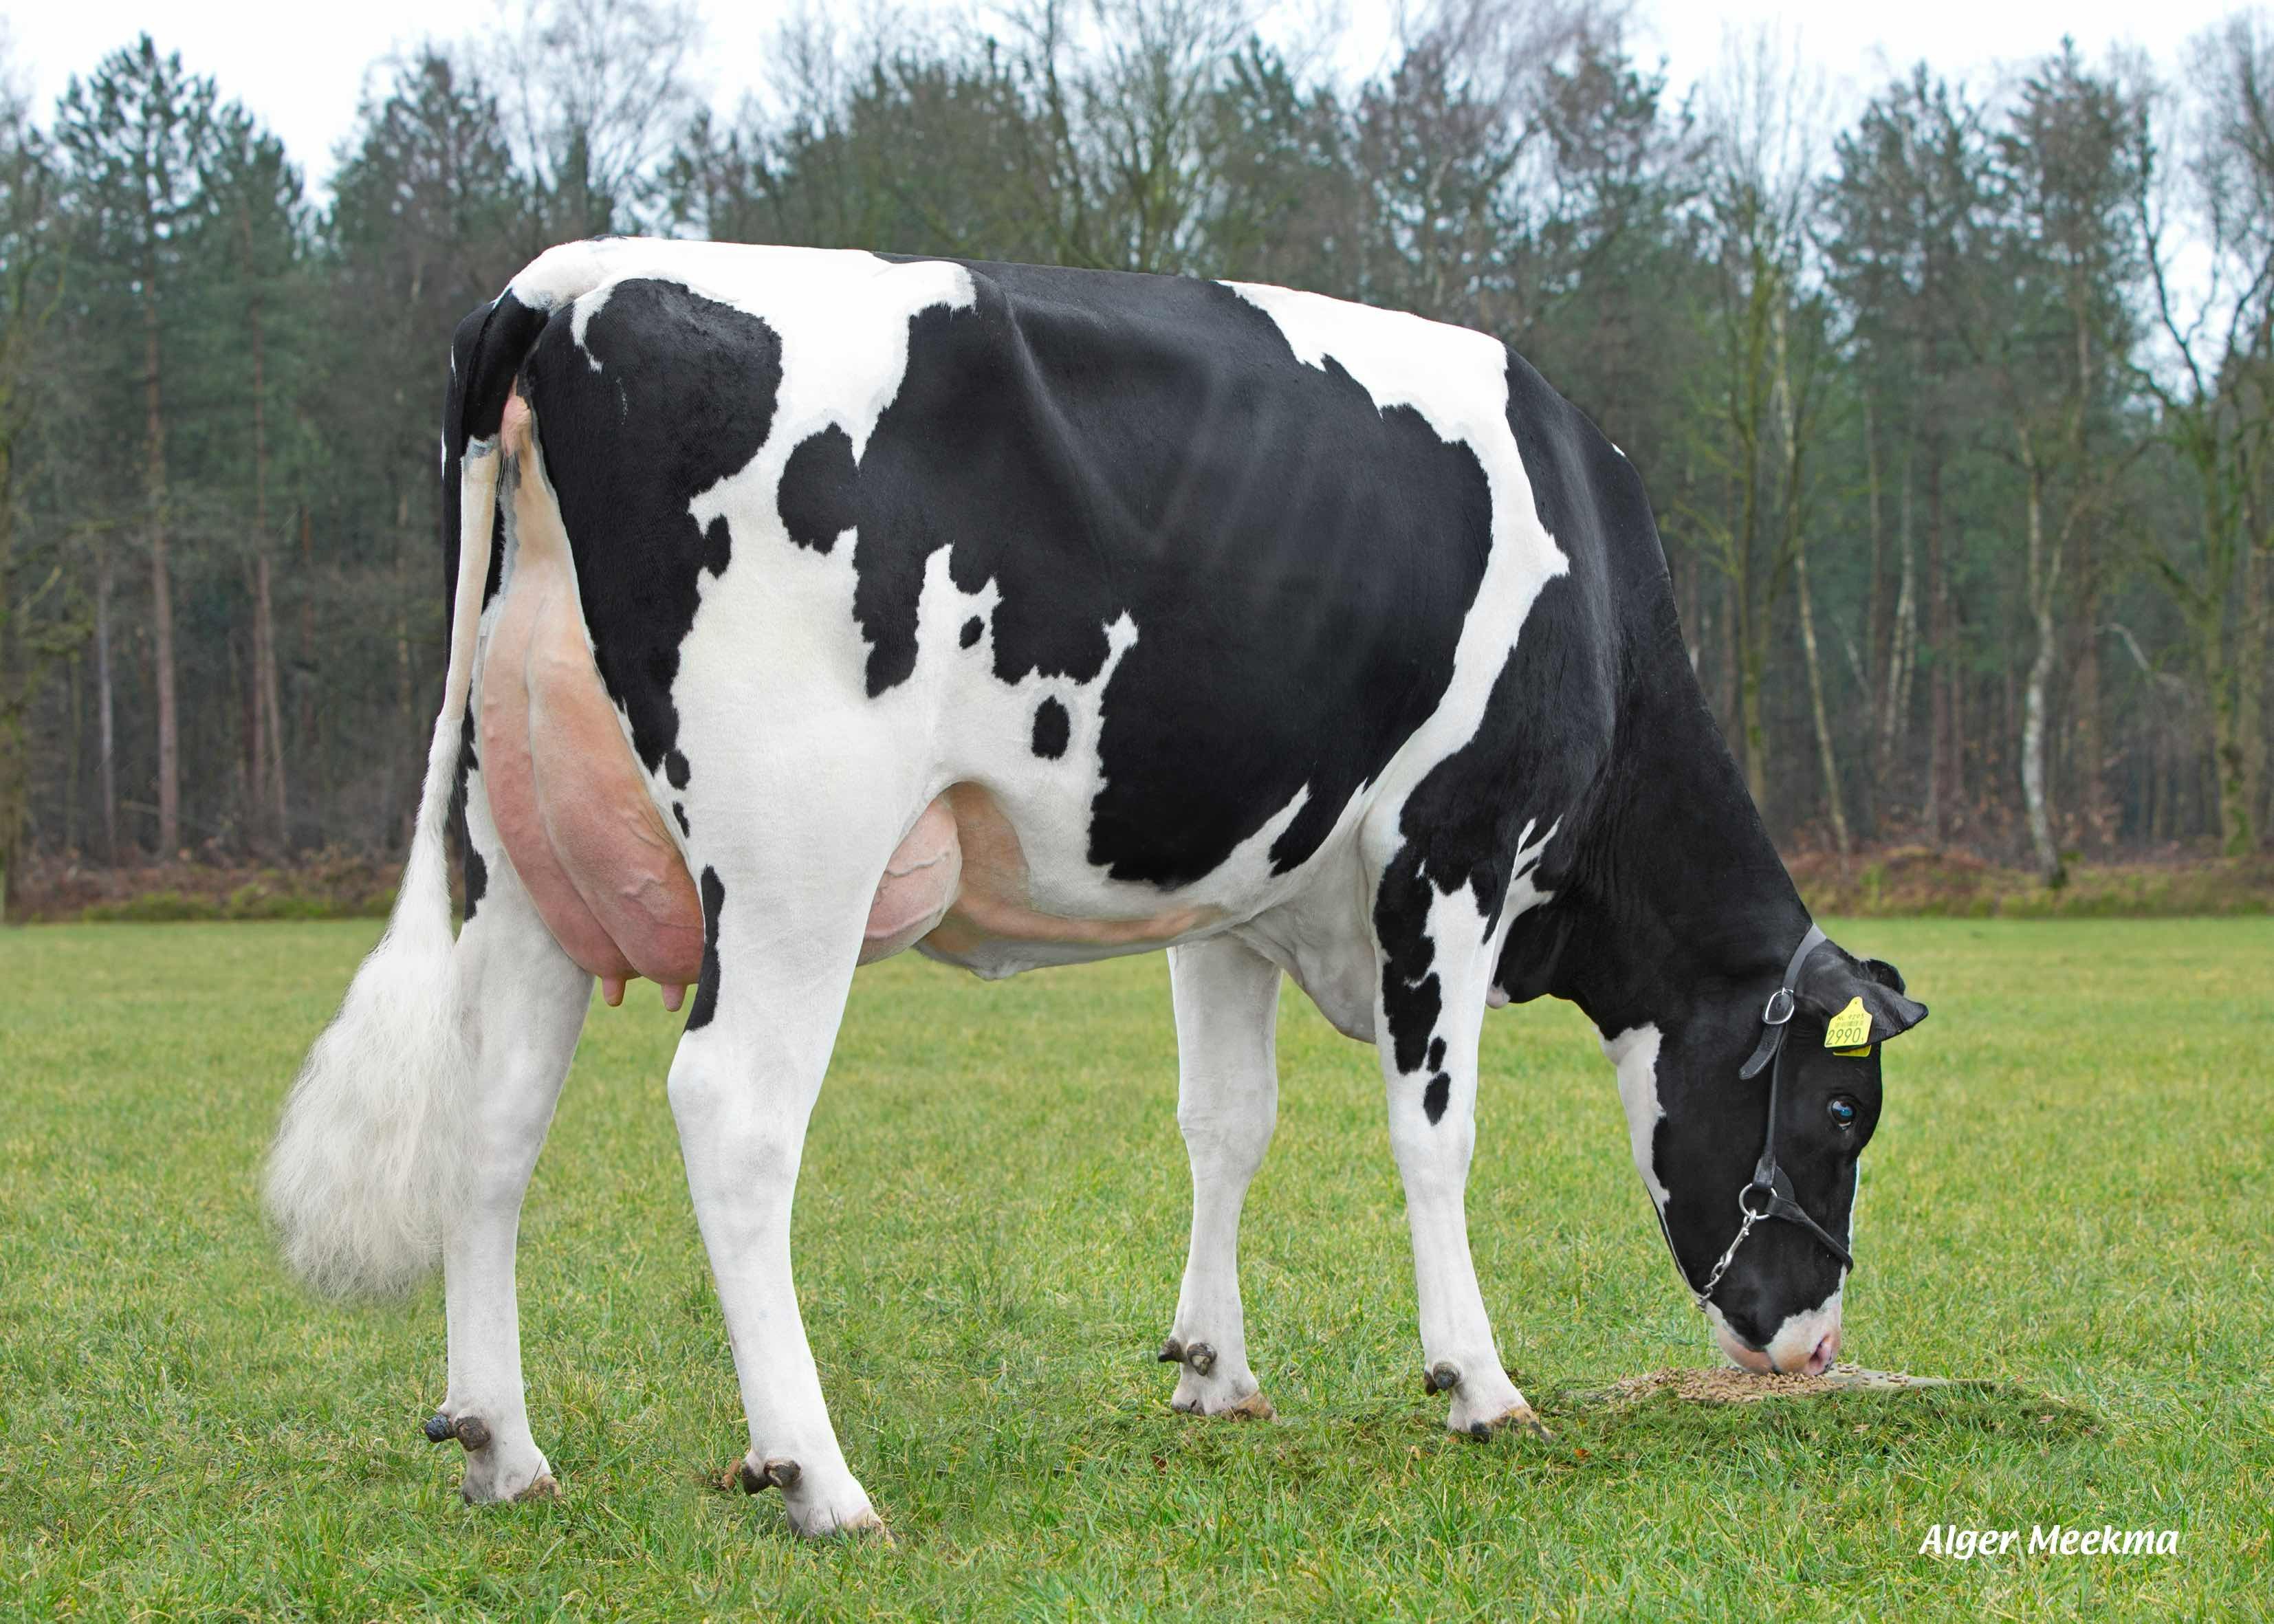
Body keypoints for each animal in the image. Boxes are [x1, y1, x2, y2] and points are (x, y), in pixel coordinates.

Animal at [265, 234, 1919, 1528]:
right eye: (1843, 1111)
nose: (1814, 1345)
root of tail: (567, 283)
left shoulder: (1240, 891)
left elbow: (1225, 1123)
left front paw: (1216, 1370)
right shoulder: (1450, 851)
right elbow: (1434, 1133)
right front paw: (1480, 1380)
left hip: (528, 854)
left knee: (494, 1118)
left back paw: (504, 1446)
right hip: (795, 850)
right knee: (732, 1113)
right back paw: (816, 1475)